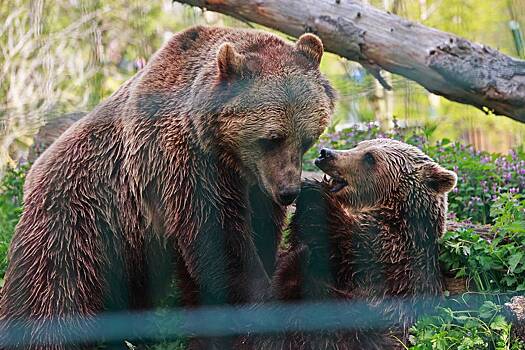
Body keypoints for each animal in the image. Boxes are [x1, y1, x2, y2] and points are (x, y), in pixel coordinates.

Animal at [0, 26, 334, 348]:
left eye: (306, 139)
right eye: (272, 138)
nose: (288, 192)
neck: (224, 151)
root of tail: (33, 174)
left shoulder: (253, 185)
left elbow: (259, 232)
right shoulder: (184, 164)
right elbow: (220, 240)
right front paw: (262, 298)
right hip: (78, 220)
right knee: (50, 295)